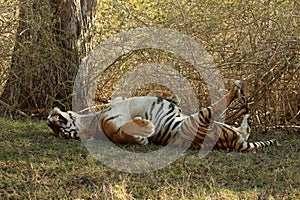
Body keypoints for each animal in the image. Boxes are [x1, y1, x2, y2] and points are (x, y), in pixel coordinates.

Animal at [47, 80, 276, 151]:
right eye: (61, 134)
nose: (50, 122)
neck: (92, 118)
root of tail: (234, 142)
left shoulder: (120, 100)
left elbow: (157, 93)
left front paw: (167, 96)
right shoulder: (112, 128)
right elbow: (127, 133)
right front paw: (146, 127)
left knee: (246, 129)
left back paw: (247, 115)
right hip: (202, 118)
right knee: (219, 105)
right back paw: (236, 90)